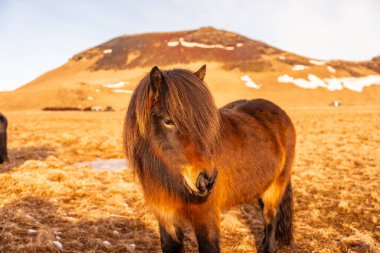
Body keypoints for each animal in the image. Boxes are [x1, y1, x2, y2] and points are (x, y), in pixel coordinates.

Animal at [123, 65, 296, 253]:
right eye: (168, 121)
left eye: (205, 122)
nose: (207, 180)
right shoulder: (166, 219)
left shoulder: (207, 221)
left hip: (276, 186)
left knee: (270, 218)